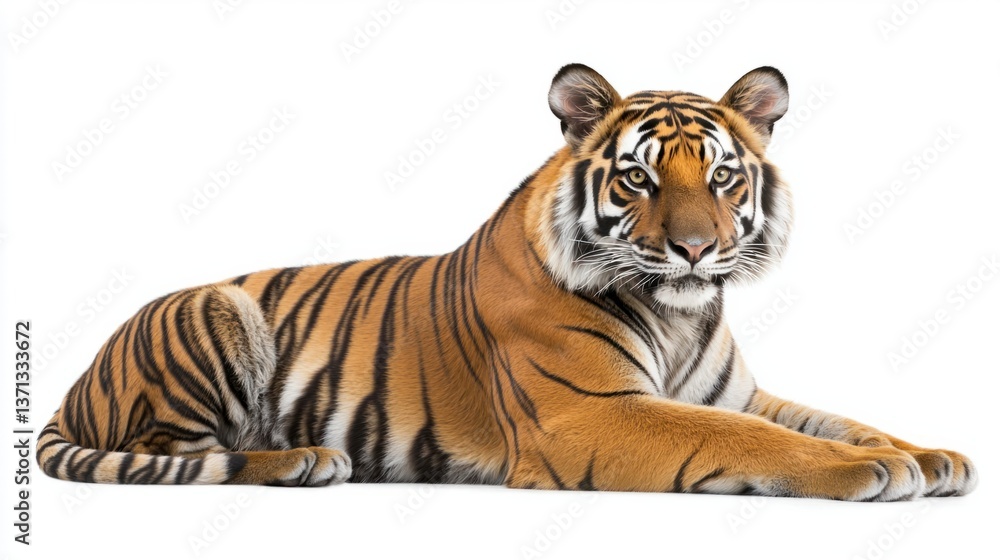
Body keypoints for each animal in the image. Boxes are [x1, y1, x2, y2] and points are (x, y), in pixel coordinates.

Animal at [38, 64, 977, 500]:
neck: (680, 313)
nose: (695, 250)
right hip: (215, 309)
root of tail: (76, 381)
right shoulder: (587, 415)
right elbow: (759, 442)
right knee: (178, 452)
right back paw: (304, 459)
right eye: (638, 179)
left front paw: (931, 455)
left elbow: (834, 420)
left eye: (721, 178)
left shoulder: (736, 392)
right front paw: (876, 470)